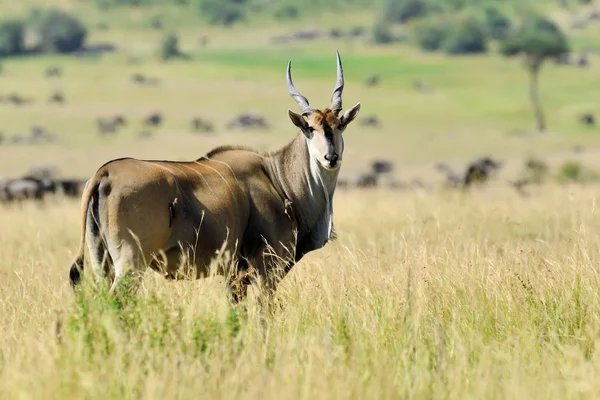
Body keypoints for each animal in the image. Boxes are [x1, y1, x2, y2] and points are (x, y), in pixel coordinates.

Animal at [69, 51, 360, 302]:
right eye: (309, 128)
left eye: (339, 126)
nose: (331, 157)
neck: (277, 178)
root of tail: (105, 172)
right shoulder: (267, 268)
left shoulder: (234, 275)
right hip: (130, 263)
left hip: (102, 262)